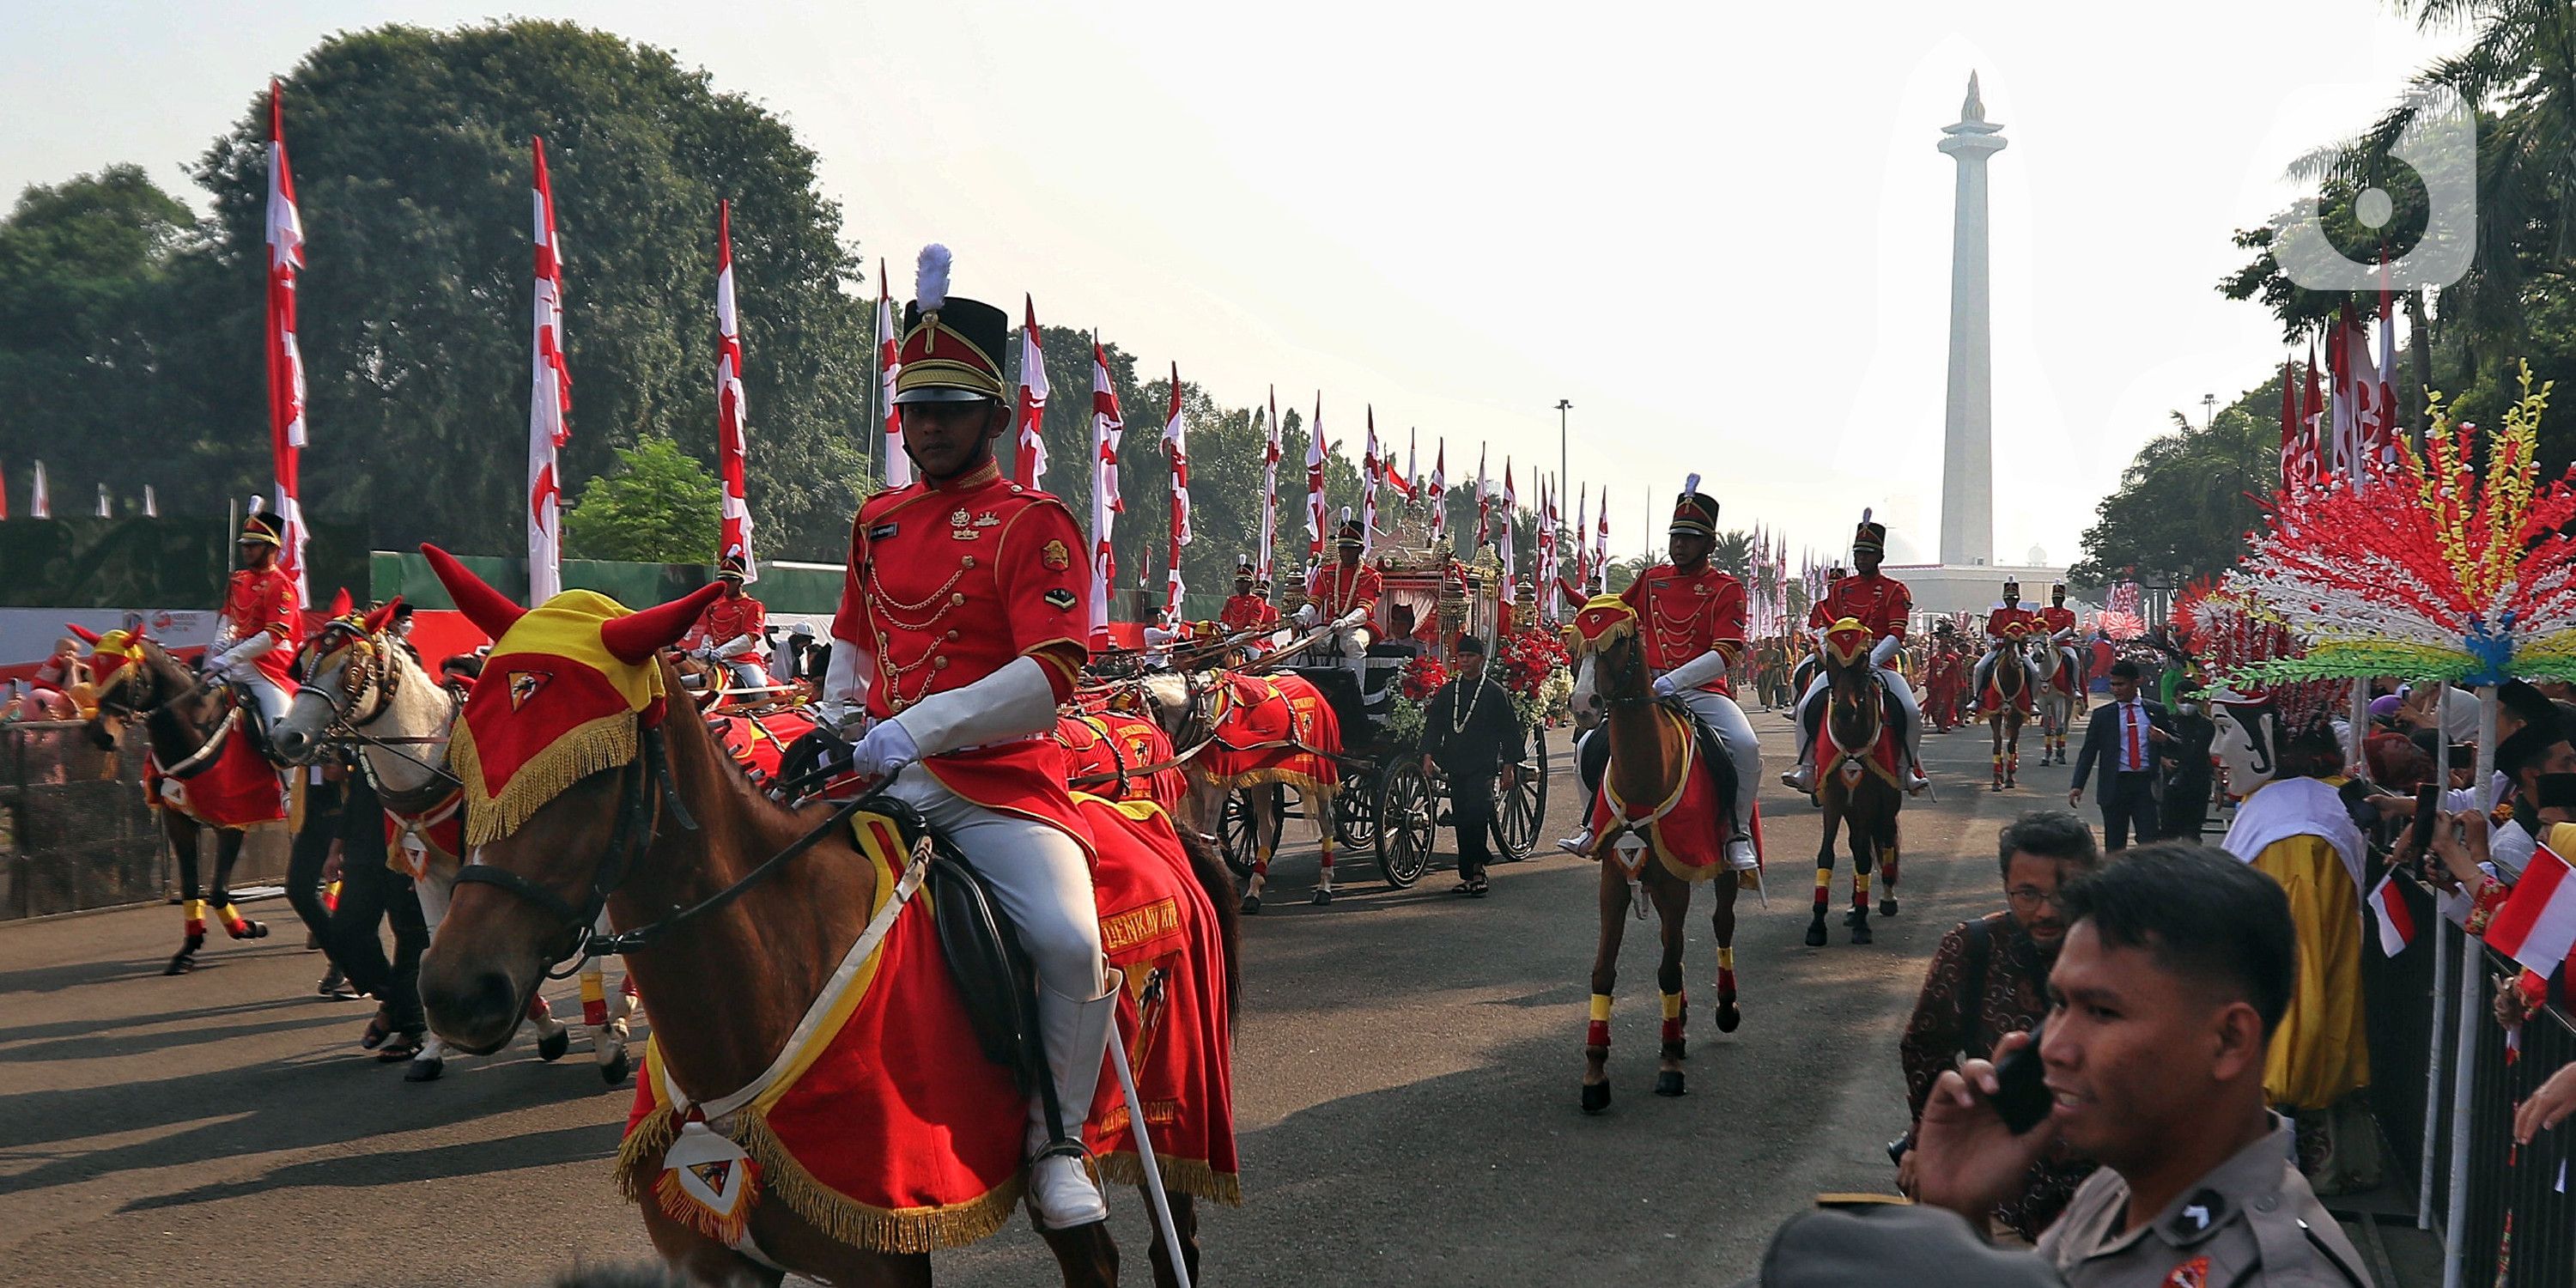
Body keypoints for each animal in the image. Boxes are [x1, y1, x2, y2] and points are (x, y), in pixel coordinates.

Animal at [82, 634, 282, 974]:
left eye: (127, 679)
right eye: (94, 674)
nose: (101, 735)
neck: (198, 729)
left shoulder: (232, 821)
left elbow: (217, 891)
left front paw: (247, 928)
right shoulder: (179, 821)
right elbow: (191, 886)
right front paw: (187, 951)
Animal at [271, 618, 639, 1082]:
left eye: (349, 672)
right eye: (301, 662)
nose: (286, 736)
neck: (433, 759)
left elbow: (591, 948)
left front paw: (606, 1042)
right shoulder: (434, 872)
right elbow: (435, 945)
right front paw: (440, 1047)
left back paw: (622, 1012)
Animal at [410, 562, 1236, 1288]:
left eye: (592, 772)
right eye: (470, 751)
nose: (456, 991)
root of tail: (1152, 817)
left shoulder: (882, 1257)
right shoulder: (714, 1261)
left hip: (1167, 1116)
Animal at [1556, 603, 1741, 1118]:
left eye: (1618, 641)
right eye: (1575, 642)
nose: (1584, 705)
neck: (1645, 774)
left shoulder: (1678, 882)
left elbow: (1669, 968)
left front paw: (1670, 1065)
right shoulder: (1614, 880)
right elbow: (1604, 969)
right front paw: (1595, 1073)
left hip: (1716, 870)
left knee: (1719, 925)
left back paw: (1722, 1010)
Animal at [1803, 623, 1906, 948]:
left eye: (1863, 661)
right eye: (1832, 661)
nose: (1845, 712)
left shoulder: (1869, 801)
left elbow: (1864, 857)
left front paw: (1862, 923)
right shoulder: (1835, 800)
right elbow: (1828, 854)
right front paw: (1817, 924)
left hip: (1886, 804)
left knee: (1885, 840)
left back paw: (1886, 898)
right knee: (1860, 844)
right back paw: (1852, 905)